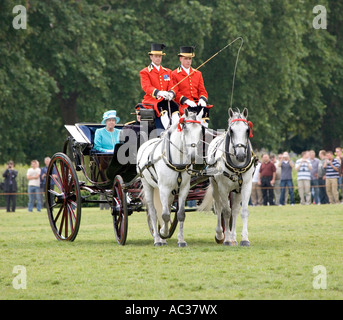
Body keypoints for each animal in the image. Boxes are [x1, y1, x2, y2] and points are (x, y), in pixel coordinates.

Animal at [138, 109, 204, 246]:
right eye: (185, 128)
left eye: (200, 130)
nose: (193, 157)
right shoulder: (164, 188)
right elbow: (165, 215)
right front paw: (163, 232)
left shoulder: (184, 188)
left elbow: (180, 214)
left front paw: (181, 240)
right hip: (148, 185)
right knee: (153, 212)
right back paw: (157, 239)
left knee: (165, 208)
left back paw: (162, 238)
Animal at [203, 107, 256, 245]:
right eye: (231, 131)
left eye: (247, 130)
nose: (241, 155)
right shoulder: (223, 188)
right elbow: (226, 212)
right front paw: (226, 239)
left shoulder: (246, 186)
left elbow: (243, 211)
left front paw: (244, 239)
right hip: (215, 187)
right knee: (219, 207)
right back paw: (220, 235)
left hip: (236, 190)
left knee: (235, 210)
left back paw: (233, 237)